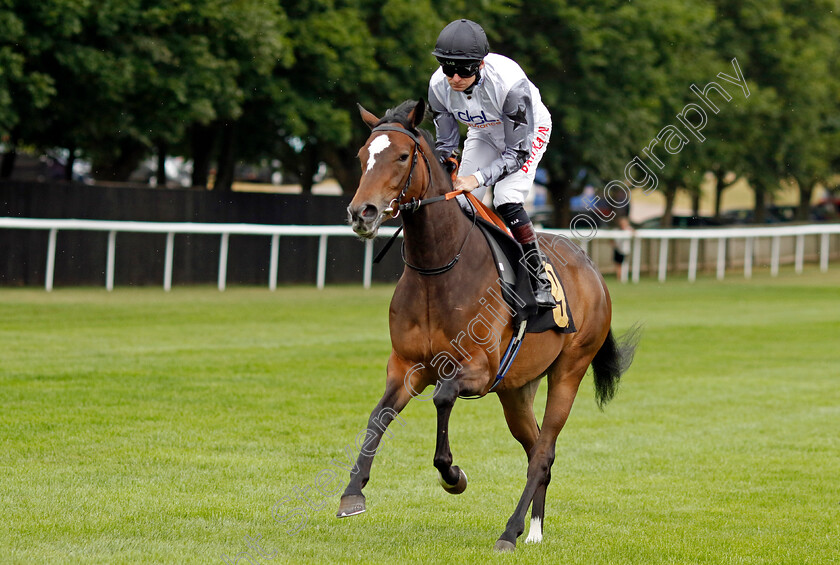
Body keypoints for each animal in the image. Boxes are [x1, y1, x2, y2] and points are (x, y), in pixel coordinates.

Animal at [342, 100, 636, 552]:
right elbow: (379, 415)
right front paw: (352, 492)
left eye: (403, 156)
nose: (363, 213)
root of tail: (592, 270)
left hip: (569, 370)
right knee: (535, 447)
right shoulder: (406, 365)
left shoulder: (478, 370)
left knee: (544, 453)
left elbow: (443, 397)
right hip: (516, 389)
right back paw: (534, 529)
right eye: (362, 156)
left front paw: (452, 475)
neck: (438, 267)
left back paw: (510, 532)